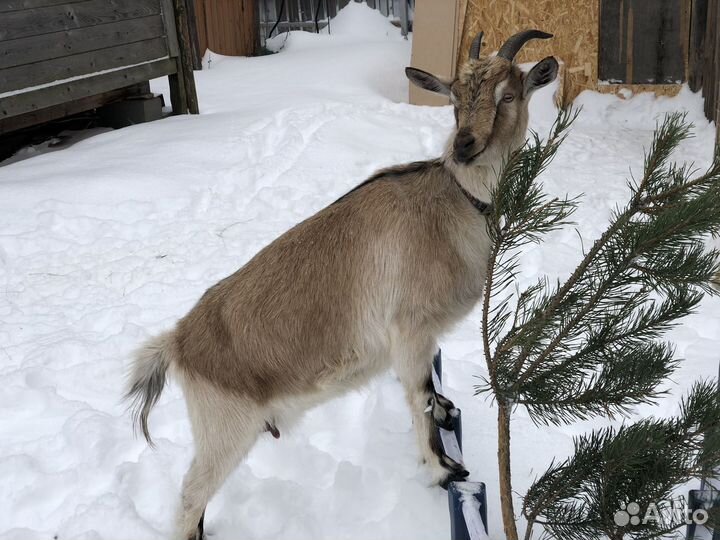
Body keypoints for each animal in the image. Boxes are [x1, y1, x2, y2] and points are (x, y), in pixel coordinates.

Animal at [126, 29, 559, 540]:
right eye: (453, 101)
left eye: (508, 95)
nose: (464, 146)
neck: (455, 198)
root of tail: (178, 341)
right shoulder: (409, 330)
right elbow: (418, 398)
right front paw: (442, 470)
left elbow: (429, 396)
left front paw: (447, 412)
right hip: (224, 428)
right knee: (191, 494)